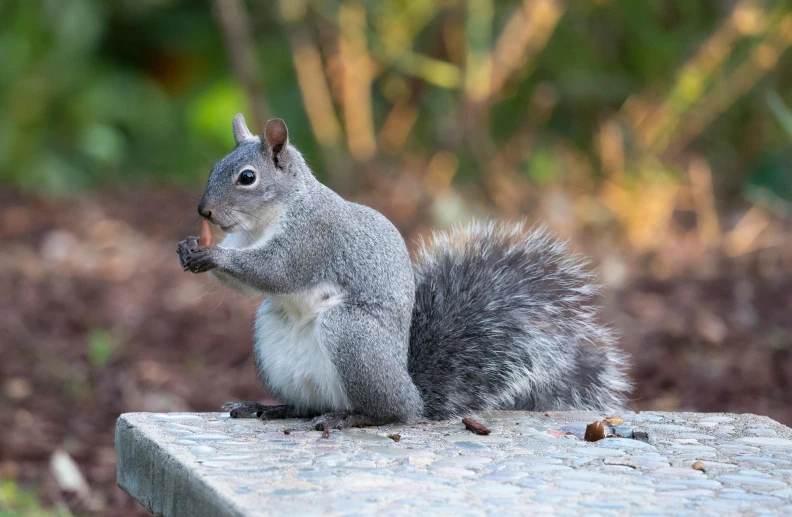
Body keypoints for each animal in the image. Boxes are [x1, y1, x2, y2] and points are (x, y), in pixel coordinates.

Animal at [178, 115, 632, 430]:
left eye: (247, 178)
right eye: (216, 166)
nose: (204, 211)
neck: (267, 219)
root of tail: (414, 395)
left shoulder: (314, 237)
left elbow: (277, 271)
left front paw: (213, 256)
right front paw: (190, 248)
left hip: (351, 335)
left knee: (387, 413)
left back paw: (352, 417)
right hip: (273, 337)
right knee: (310, 405)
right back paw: (270, 407)